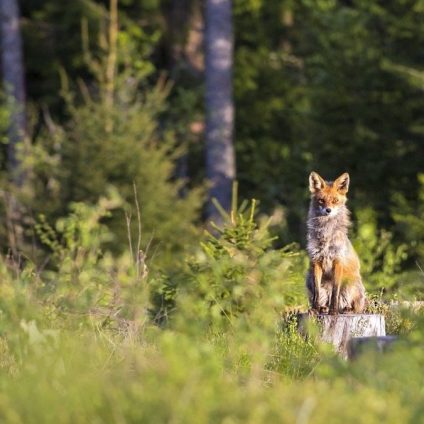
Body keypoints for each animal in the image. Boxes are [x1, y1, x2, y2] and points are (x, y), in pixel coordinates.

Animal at [306, 171, 366, 314]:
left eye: (335, 201)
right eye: (321, 200)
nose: (328, 210)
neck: (326, 235)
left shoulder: (338, 261)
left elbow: (335, 292)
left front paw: (333, 312)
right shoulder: (316, 261)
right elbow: (316, 292)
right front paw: (315, 309)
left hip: (352, 283)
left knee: (354, 306)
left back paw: (346, 309)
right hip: (309, 277)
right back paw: (322, 308)